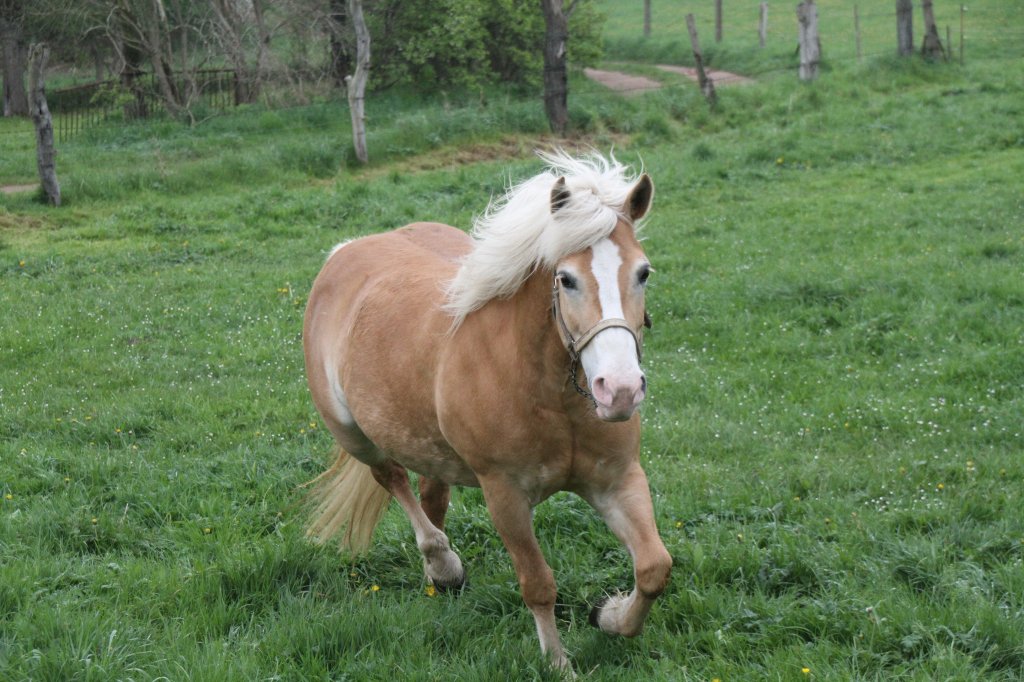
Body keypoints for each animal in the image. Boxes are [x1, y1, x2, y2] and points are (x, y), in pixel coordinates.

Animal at [301, 150, 671, 667]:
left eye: (643, 273)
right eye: (566, 279)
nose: (618, 390)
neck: (551, 399)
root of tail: (344, 251)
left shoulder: (617, 481)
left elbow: (654, 567)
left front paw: (608, 616)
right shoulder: (505, 496)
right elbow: (538, 584)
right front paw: (558, 663)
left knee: (431, 493)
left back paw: (436, 577)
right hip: (353, 434)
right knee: (391, 478)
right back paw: (443, 564)